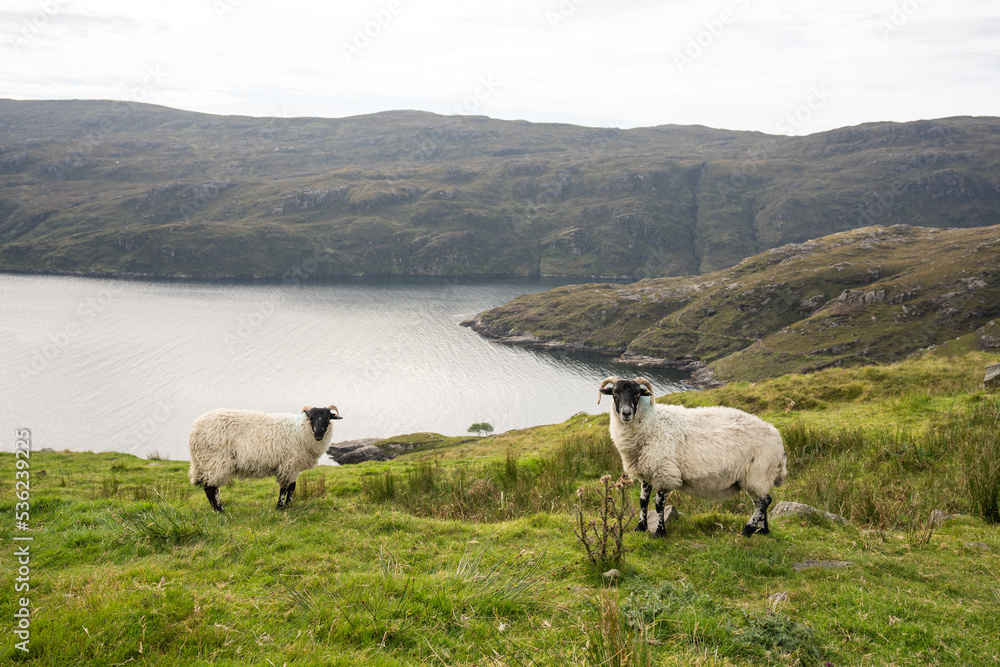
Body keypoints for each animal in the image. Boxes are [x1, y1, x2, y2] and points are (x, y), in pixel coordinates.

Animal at [187, 405, 342, 512]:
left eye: (327, 418)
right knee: (210, 487)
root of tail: (194, 430)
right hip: (216, 461)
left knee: (210, 487)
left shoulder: (294, 466)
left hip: (208, 462)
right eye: (311, 418)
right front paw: (280, 507)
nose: (318, 433)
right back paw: (221, 511)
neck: (300, 431)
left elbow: (292, 487)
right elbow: (285, 488)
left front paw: (288, 505)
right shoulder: (288, 464)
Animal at [599, 376, 786, 538]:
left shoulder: (664, 473)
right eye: (615, 393)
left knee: (763, 502)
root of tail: (779, 442)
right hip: (754, 478)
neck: (651, 423)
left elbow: (659, 505)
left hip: (757, 474)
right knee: (761, 501)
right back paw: (762, 530)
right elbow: (643, 502)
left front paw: (660, 532)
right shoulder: (647, 472)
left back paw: (748, 529)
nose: (626, 413)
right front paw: (640, 527)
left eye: (637, 394)